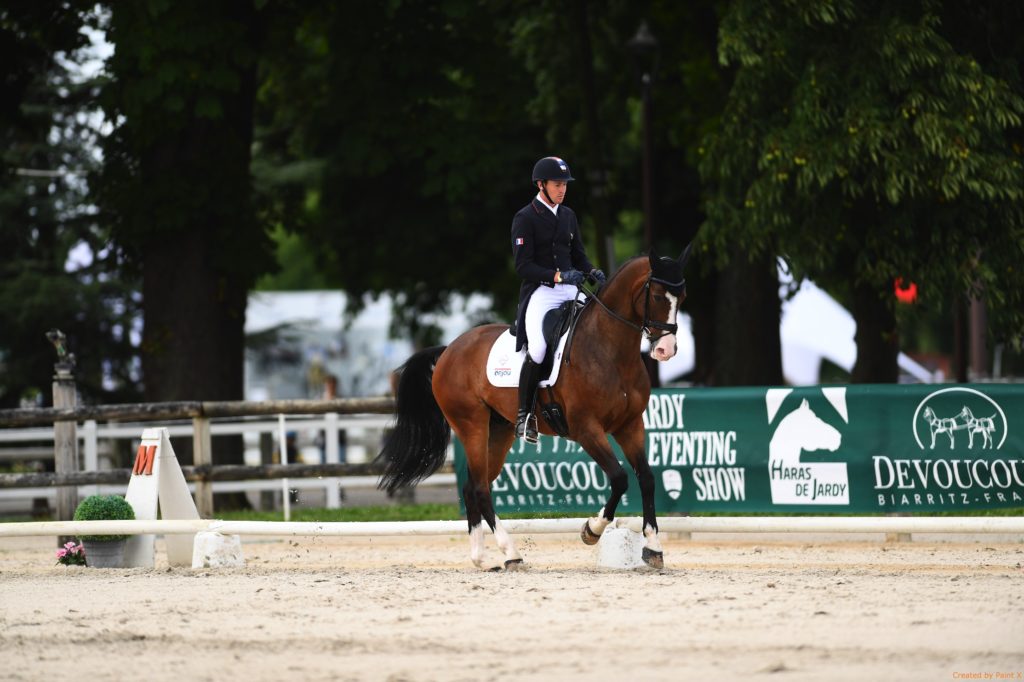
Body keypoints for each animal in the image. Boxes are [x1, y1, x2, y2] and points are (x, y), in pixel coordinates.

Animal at [376, 245, 688, 569]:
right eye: (657, 296)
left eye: (683, 297)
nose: (666, 350)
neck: (609, 351)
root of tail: (450, 349)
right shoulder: (587, 429)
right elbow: (619, 478)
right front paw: (591, 530)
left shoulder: (630, 425)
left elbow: (647, 479)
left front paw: (653, 548)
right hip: (471, 425)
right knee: (480, 488)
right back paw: (510, 553)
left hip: (499, 431)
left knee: (473, 486)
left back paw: (481, 557)